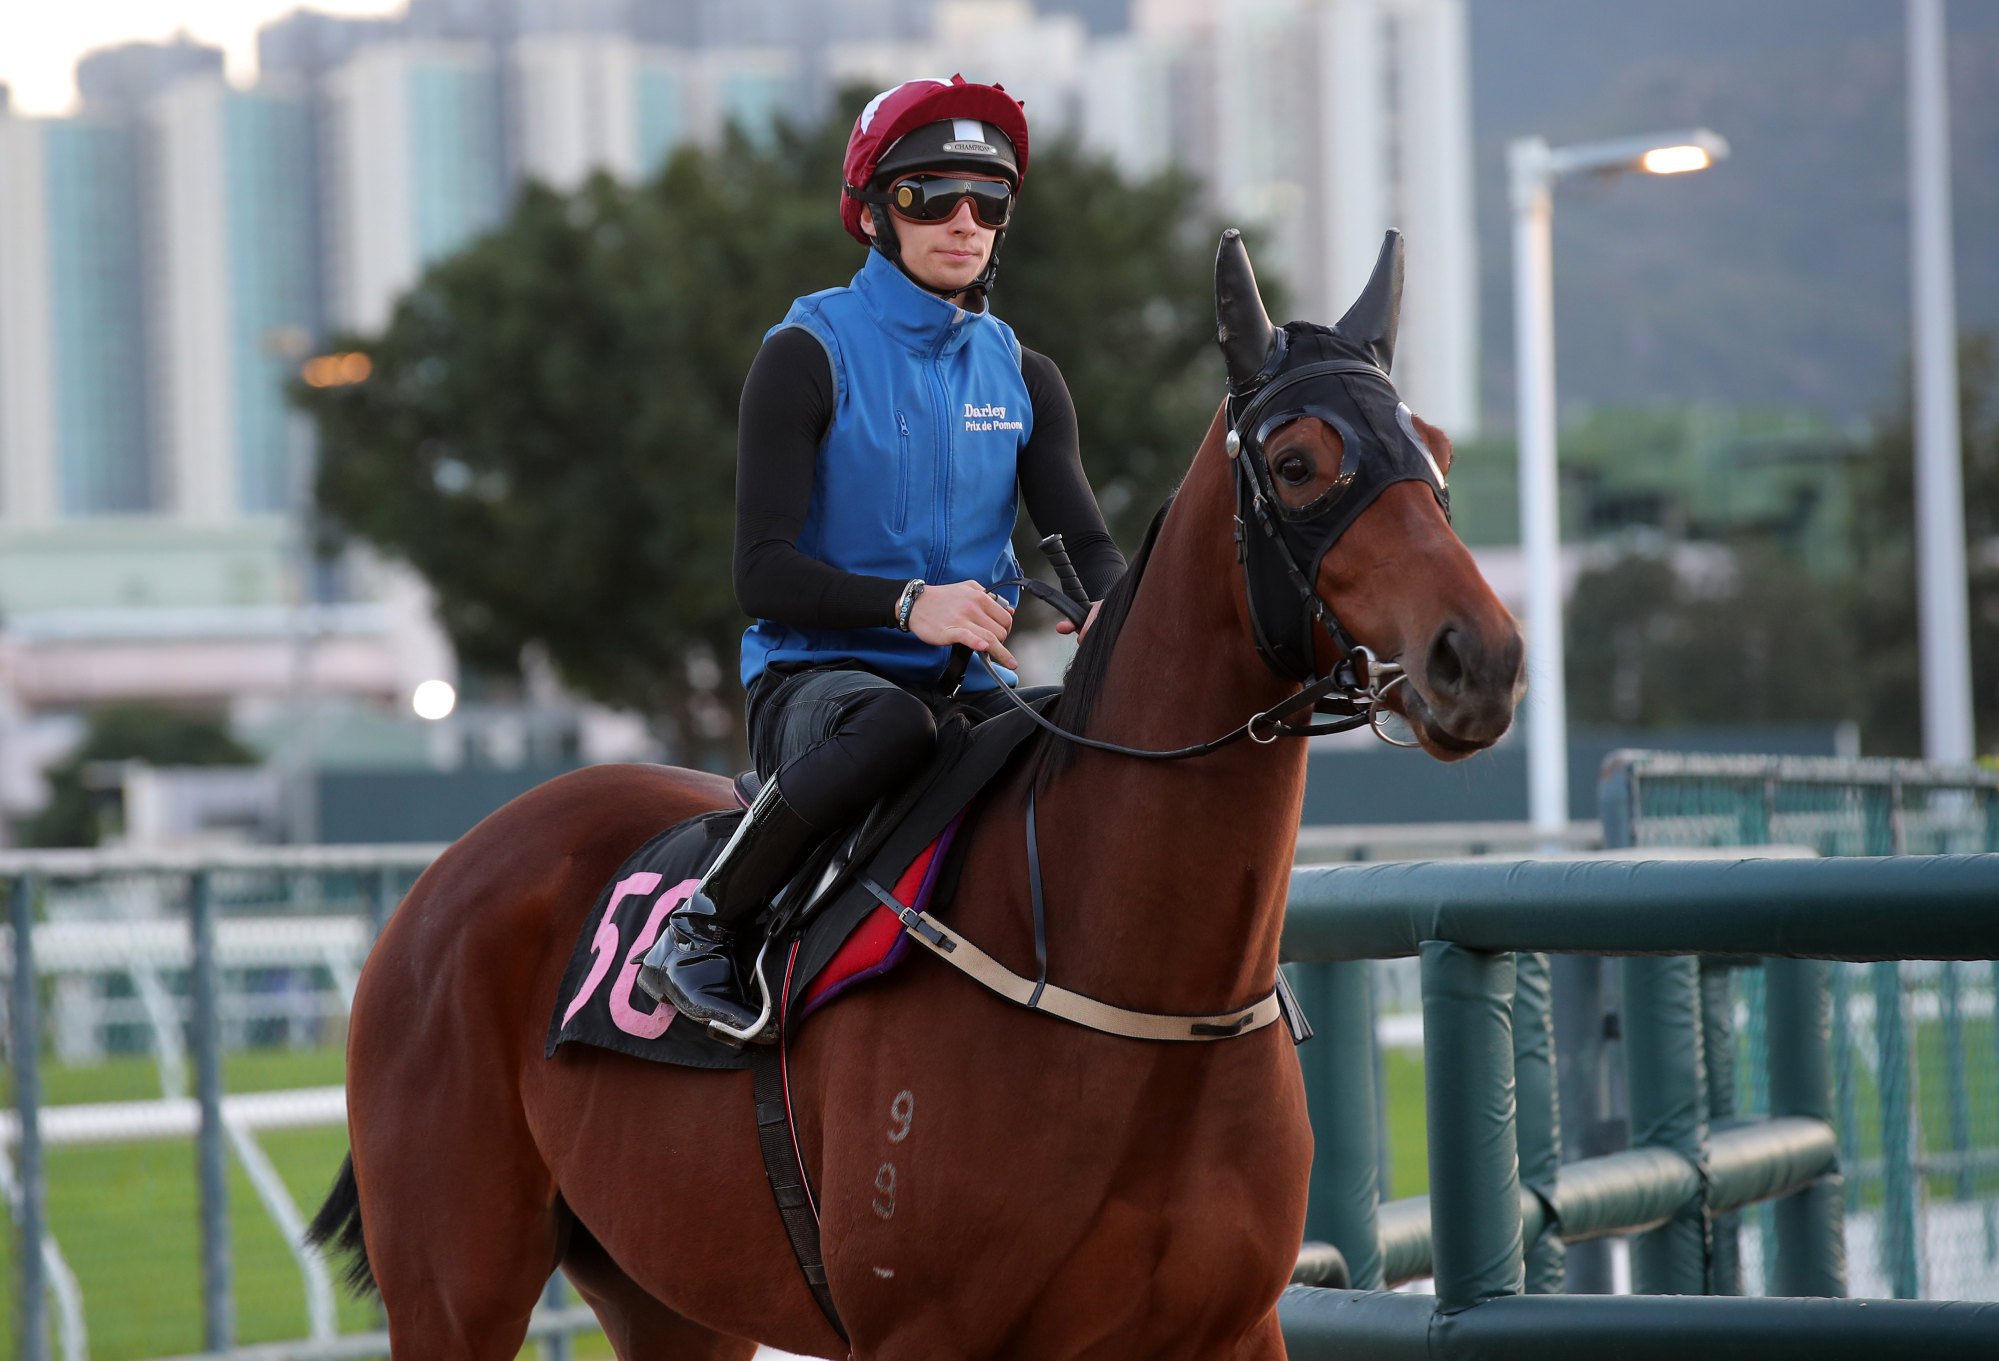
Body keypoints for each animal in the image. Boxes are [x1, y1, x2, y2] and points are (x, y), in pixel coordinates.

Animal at [311, 227, 1519, 1351]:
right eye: (1298, 461)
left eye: (1434, 450)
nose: (1481, 657)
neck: (1122, 984)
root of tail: (442, 881)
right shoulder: (918, 1329)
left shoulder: (1231, 1325)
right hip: (455, 1287)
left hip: (663, 1292)